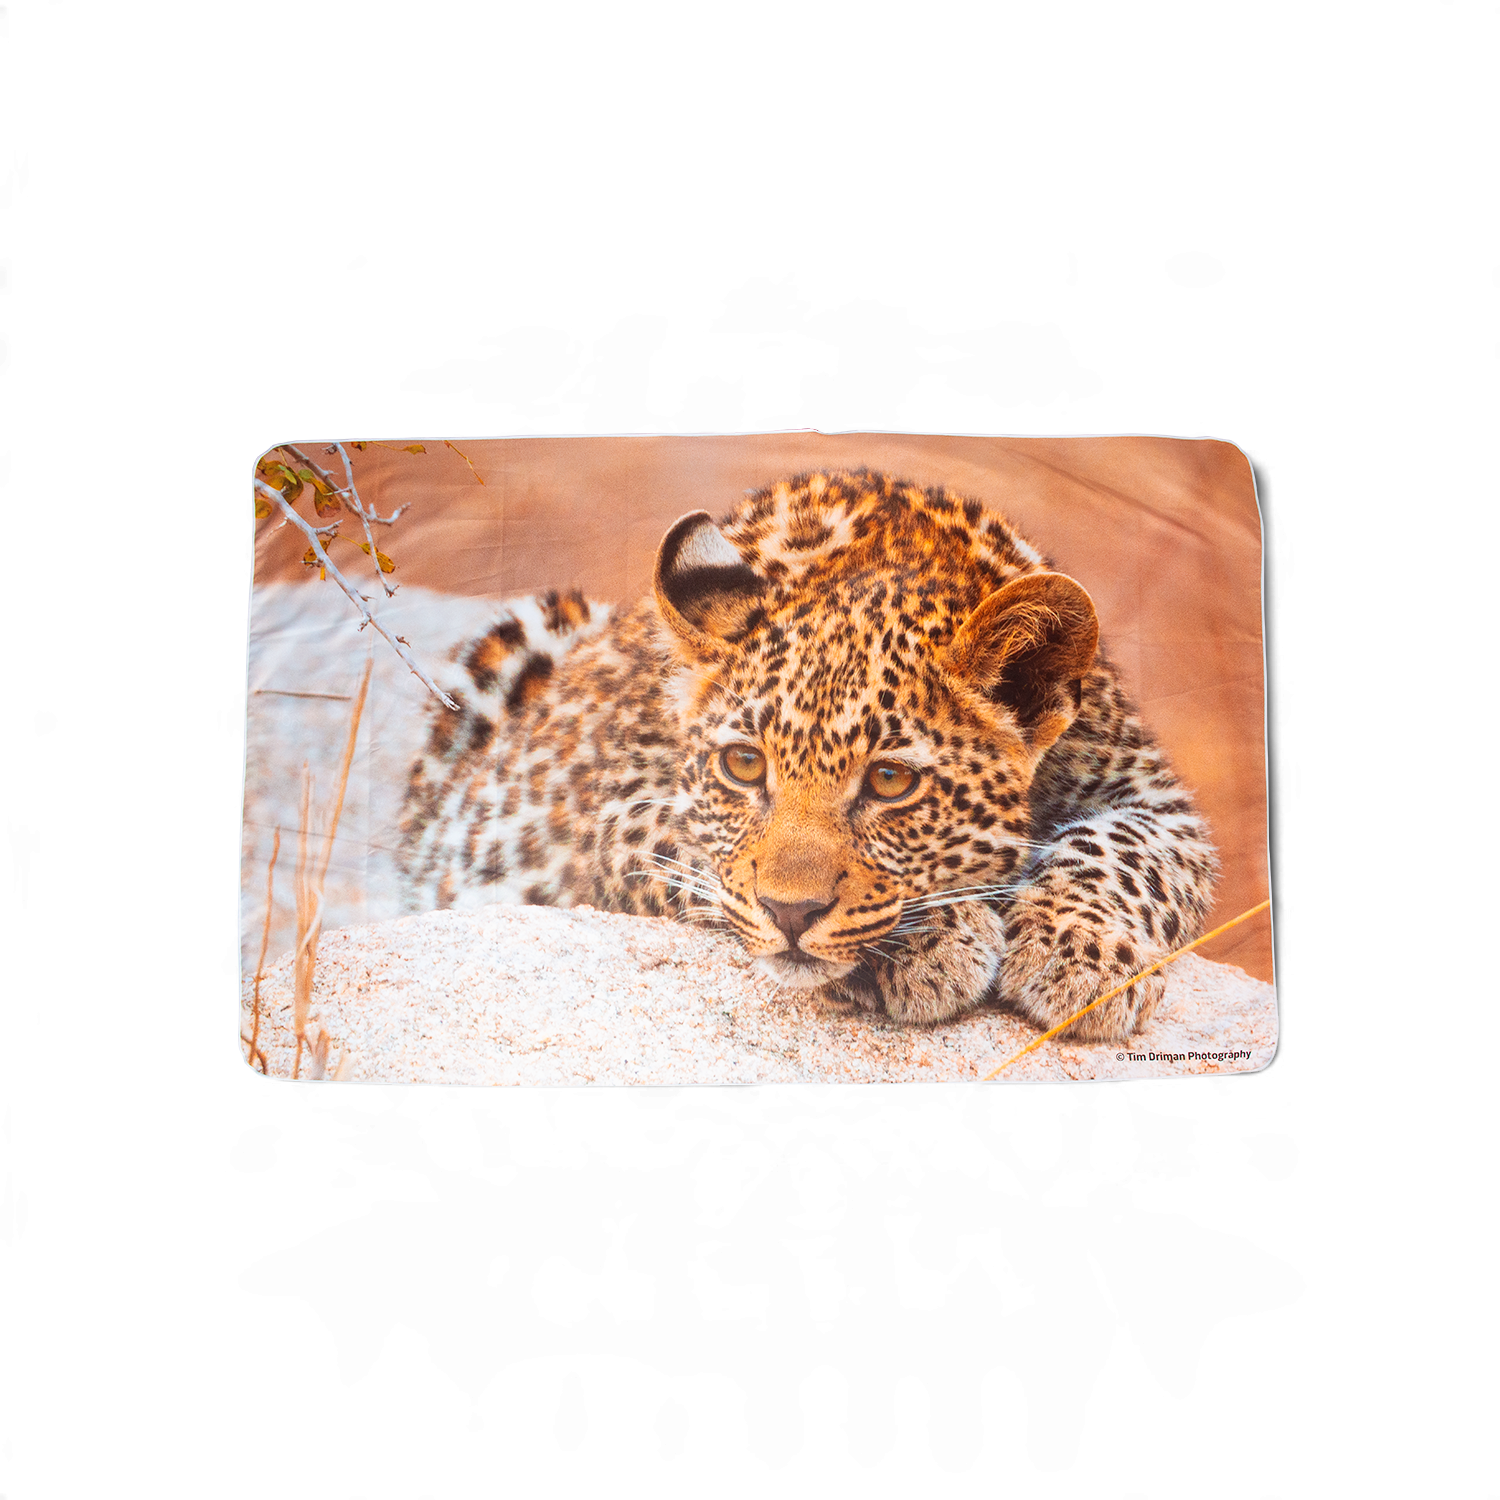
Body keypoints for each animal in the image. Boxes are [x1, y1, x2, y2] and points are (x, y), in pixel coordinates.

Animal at [397, 470, 1217, 1039]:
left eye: (890, 780)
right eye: (744, 766)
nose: (791, 915)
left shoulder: (1158, 800)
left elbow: (1122, 851)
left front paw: (1086, 957)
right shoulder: (606, 812)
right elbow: (708, 858)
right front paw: (926, 941)